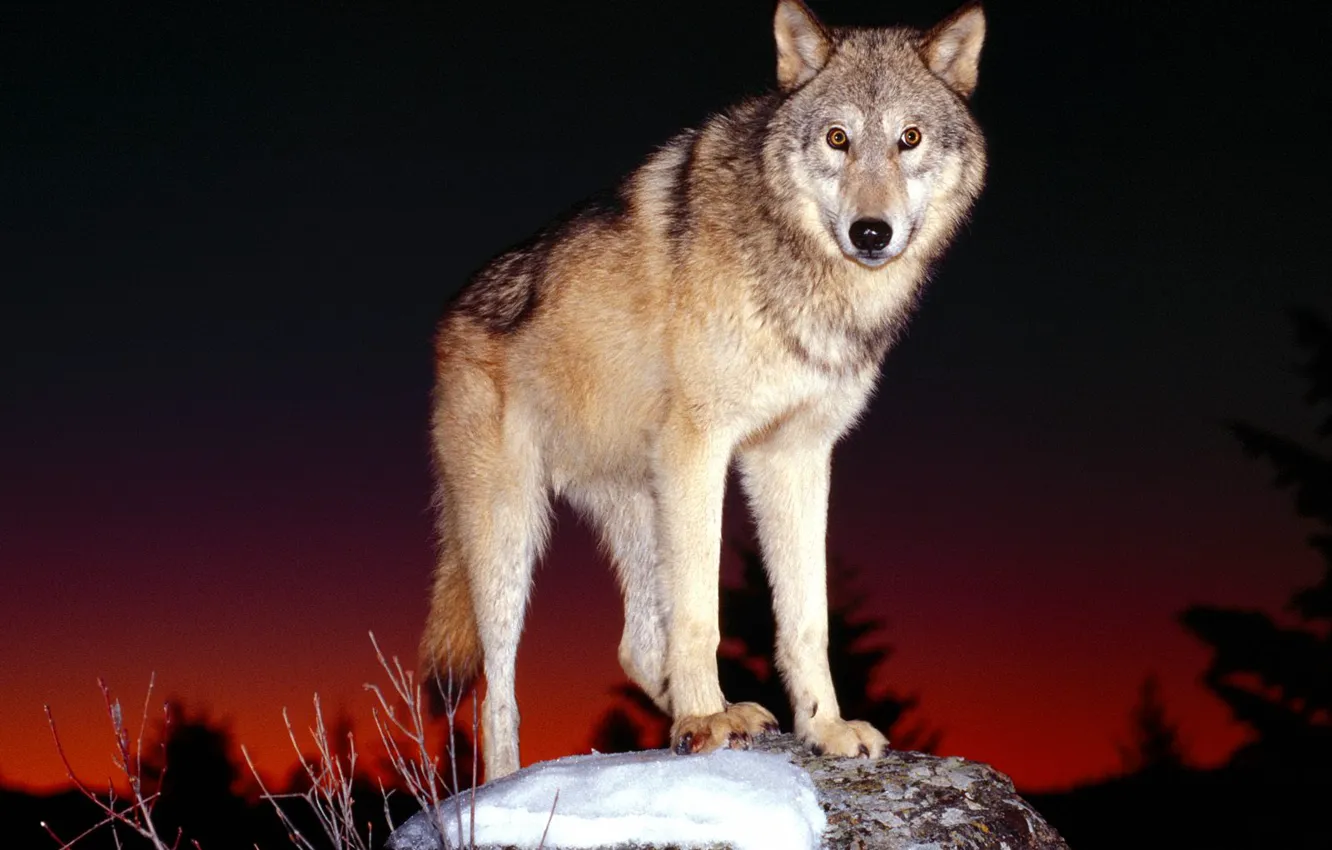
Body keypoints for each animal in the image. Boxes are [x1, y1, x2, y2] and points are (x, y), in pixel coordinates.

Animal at [421, 0, 987, 780]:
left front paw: (824, 728)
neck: (798, 268)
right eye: (838, 138)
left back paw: (726, 716)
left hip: (639, 504)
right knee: (496, 696)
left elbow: (806, 617)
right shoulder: (702, 446)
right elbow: (699, 612)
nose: (871, 233)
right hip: (510, 531)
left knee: (634, 644)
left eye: (910, 138)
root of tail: (448, 318)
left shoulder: (796, 457)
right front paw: (701, 719)